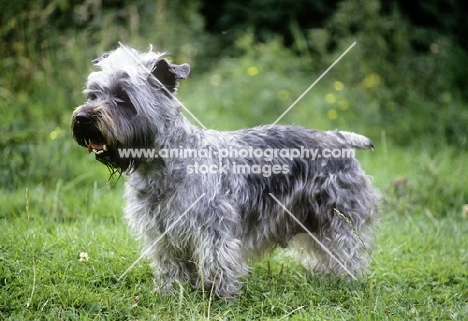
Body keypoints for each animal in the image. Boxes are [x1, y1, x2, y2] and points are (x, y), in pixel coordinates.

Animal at [71, 45, 382, 298]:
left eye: (123, 97)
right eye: (93, 94)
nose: (83, 118)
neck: (166, 165)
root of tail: (339, 138)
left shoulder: (213, 229)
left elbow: (216, 263)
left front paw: (217, 297)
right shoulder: (162, 232)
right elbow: (171, 265)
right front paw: (172, 292)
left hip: (337, 220)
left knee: (346, 252)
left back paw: (343, 281)